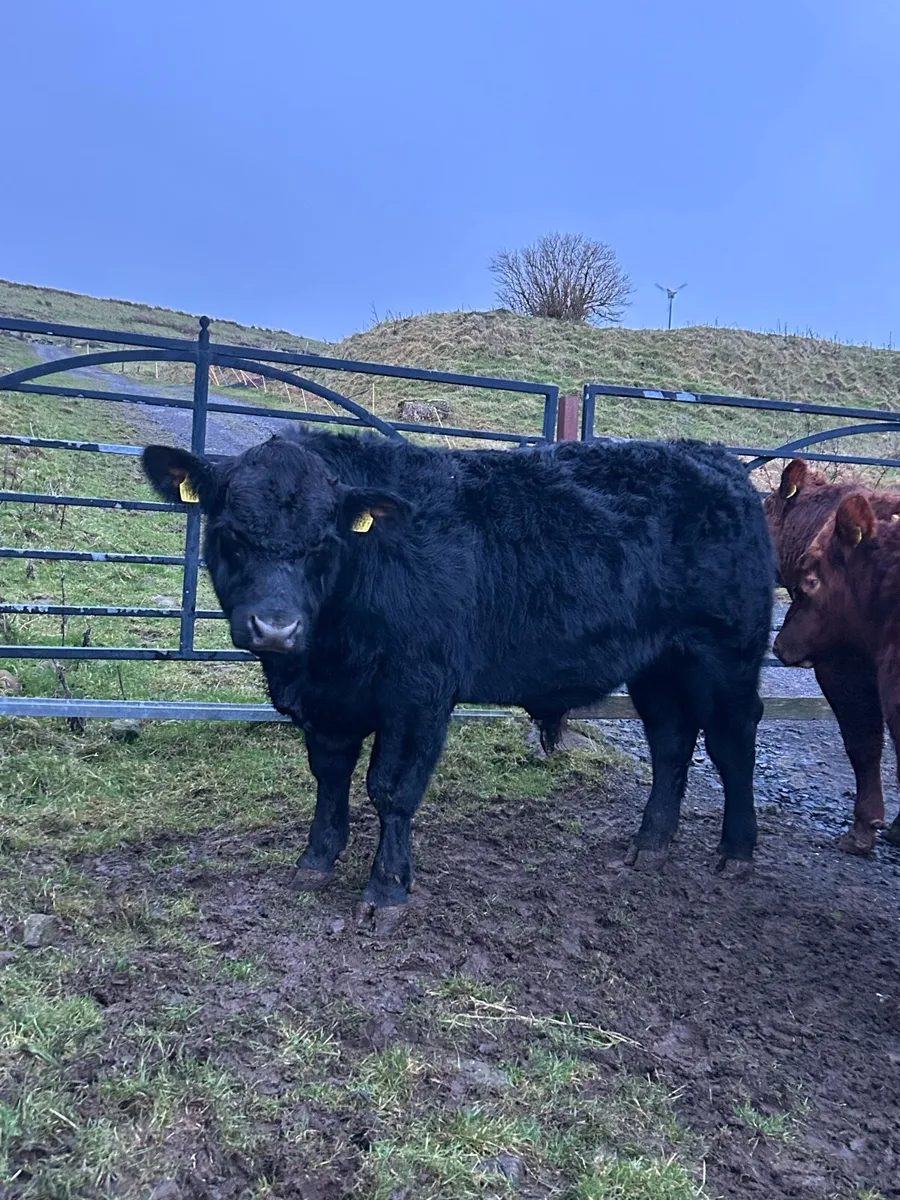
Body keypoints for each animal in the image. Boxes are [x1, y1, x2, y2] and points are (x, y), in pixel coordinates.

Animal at [142, 428, 773, 929]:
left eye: (324, 541)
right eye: (230, 533)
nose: (276, 627)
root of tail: (714, 458)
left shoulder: (419, 692)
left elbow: (391, 789)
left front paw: (387, 891)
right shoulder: (329, 703)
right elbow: (329, 777)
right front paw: (316, 861)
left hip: (727, 655)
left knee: (732, 740)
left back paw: (737, 852)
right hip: (660, 665)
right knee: (671, 742)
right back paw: (650, 845)